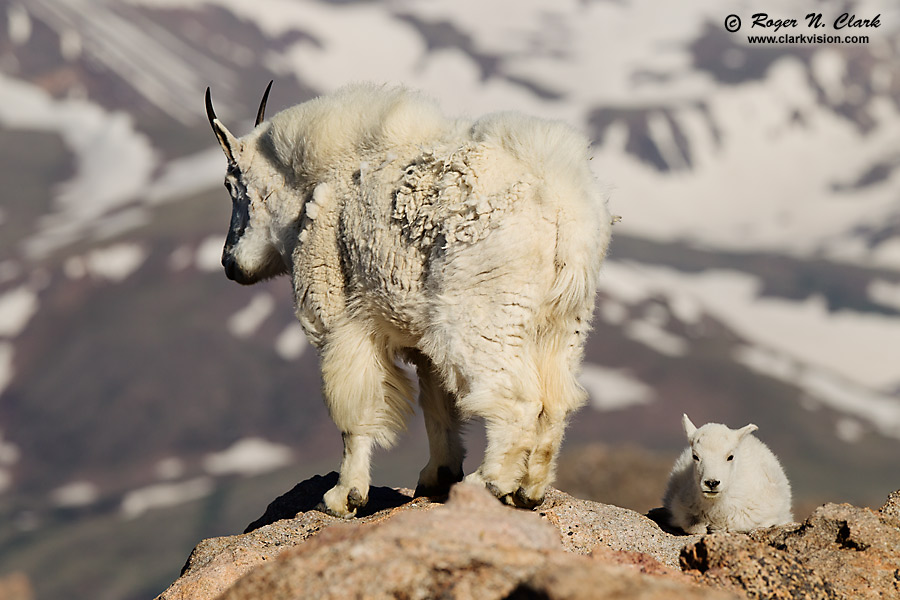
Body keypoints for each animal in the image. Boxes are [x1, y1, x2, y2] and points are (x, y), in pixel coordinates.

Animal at [204, 82, 612, 516]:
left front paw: (344, 495)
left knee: (516, 398)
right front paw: (437, 475)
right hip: (564, 323)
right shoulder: (422, 341)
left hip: (479, 314)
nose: (230, 264)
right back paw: (528, 490)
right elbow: (436, 405)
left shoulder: (340, 320)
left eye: (231, 186)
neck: (314, 186)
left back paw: (487, 483)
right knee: (556, 400)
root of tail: (564, 209)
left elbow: (354, 412)